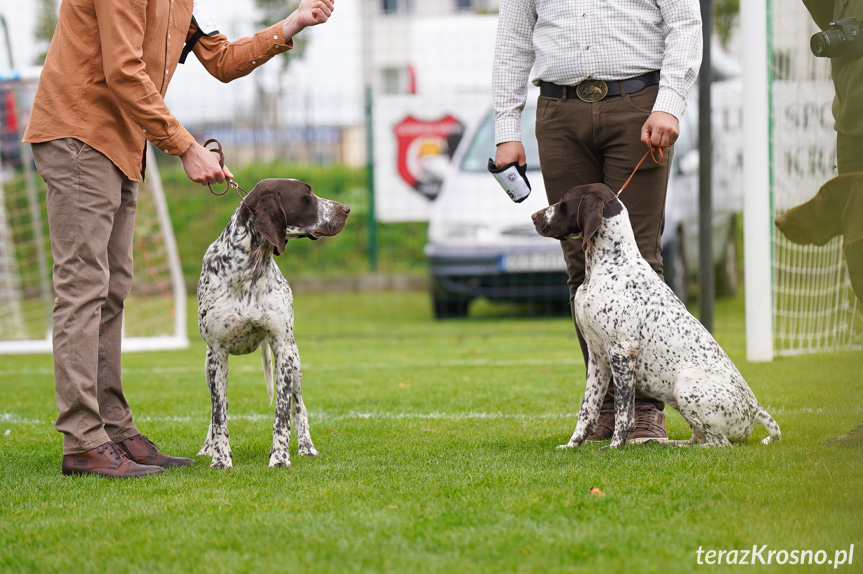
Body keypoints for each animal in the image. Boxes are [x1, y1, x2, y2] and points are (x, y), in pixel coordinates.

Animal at [199, 180, 352, 472]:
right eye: (307, 195)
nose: (346, 209)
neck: (250, 269)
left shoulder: (282, 348)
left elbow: (282, 414)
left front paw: (280, 456)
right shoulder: (217, 353)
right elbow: (218, 414)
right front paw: (220, 458)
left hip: (295, 361)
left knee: (299, 407)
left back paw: (306, 447)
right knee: (216, 410)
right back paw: (208, 447)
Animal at [532, 184, 784, 450]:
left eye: (563, 201)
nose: (534, 217)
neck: (610, 263)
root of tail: (755, 410)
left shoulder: (622, 351)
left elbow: (623, 411)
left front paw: (615, 446)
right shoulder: (597, 357)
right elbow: (587, 410)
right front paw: (573, 445)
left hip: (685, 387)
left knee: (719, 443)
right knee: (697, 438)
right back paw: (661, 443)